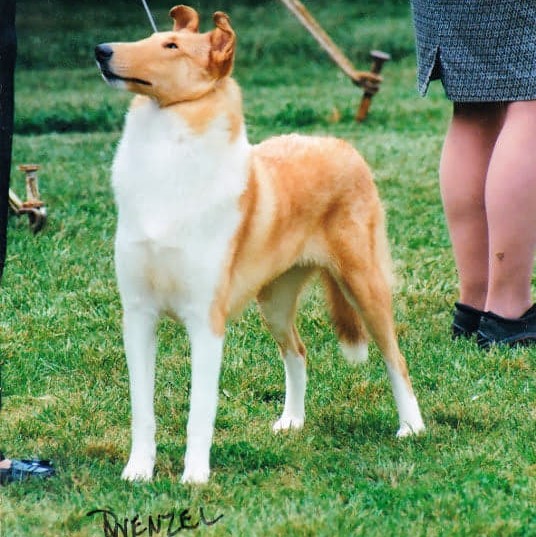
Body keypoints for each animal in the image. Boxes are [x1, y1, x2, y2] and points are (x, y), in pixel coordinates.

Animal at [95, 5, 425, 484]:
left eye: (171, 46)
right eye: (148, 37)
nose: (101, 50)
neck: (168, 164)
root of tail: (341, 145)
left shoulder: (206, 322)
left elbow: (199, 412)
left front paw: (194, 479)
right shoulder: (138, 315)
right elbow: (143, 410)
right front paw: (138, 472)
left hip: (365, 286)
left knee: (395, 359)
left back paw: (412, 427)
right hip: (274, 301)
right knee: (298, 352)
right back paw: (292, 421)